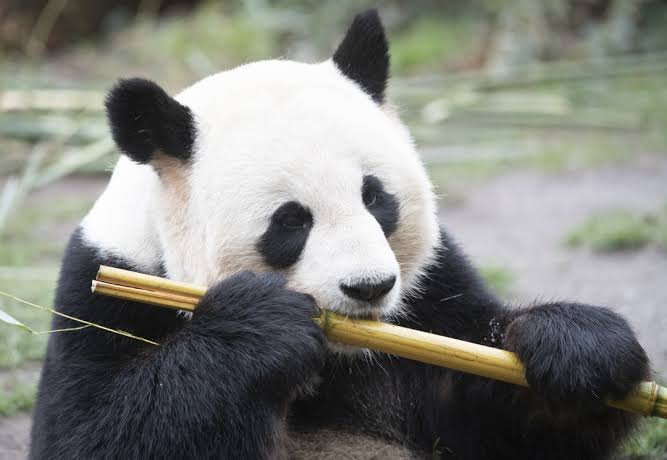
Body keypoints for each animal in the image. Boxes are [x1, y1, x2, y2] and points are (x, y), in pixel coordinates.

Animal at [30, 9, 649, 460]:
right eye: (290, 221)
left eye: (375, 198)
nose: (369, 288)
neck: (339, 357)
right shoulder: (105, 285)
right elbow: (90, 434)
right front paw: (259, 326)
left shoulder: (431, 295)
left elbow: (496, 418)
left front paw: (577, 349)